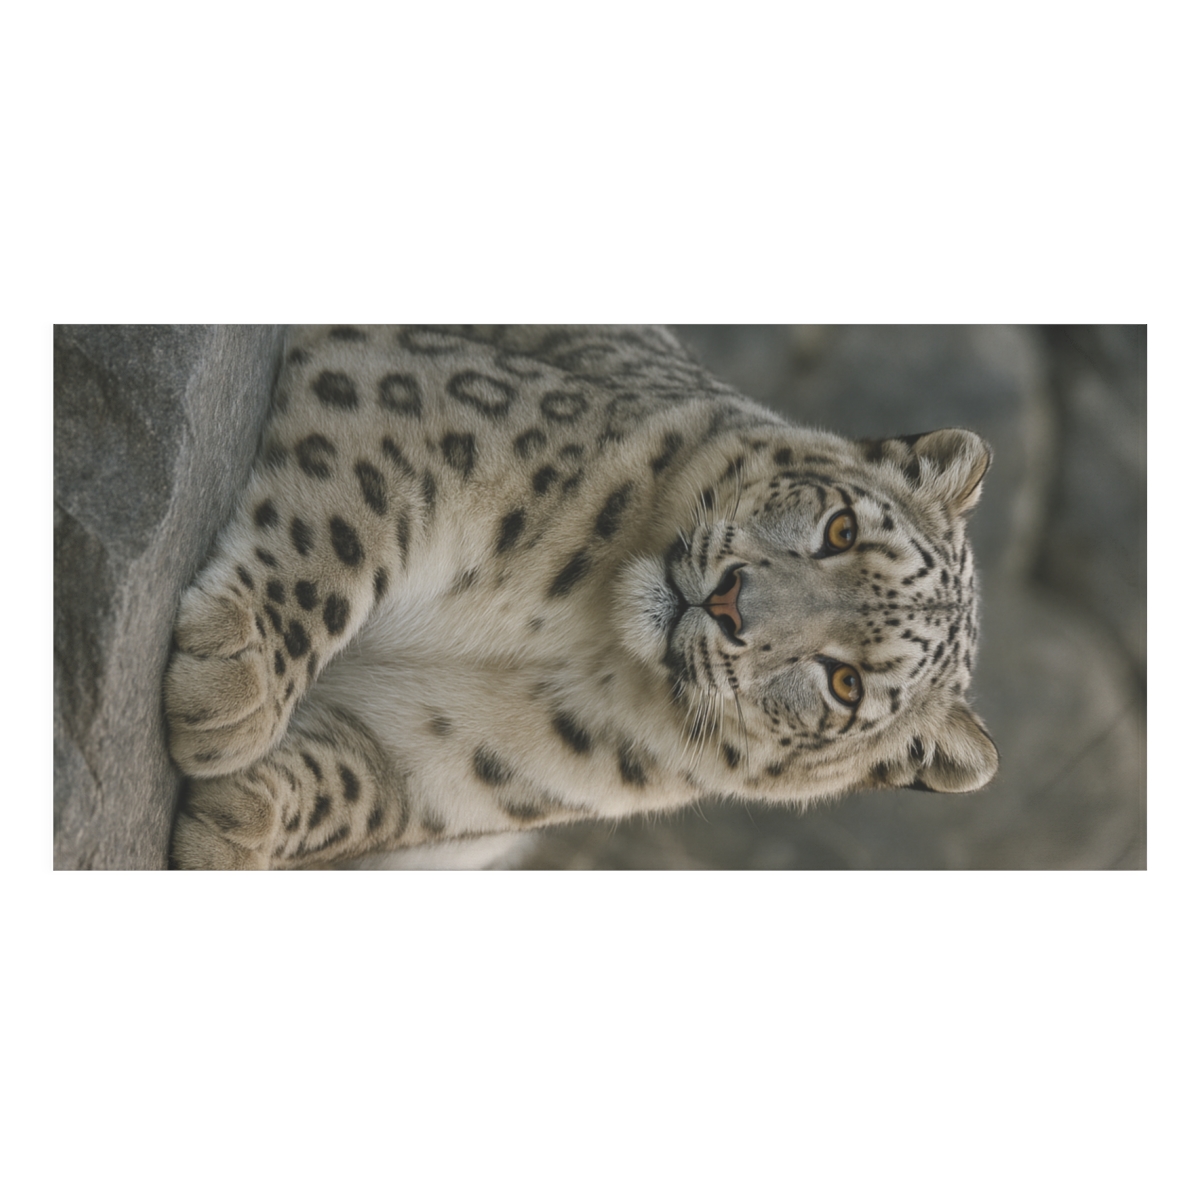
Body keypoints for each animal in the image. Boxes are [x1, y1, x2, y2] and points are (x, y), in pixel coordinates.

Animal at [164, 325, 999, 869]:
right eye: (840, 528)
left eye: (846, 683)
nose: (731, 603)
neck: (576, 628)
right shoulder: (432, 417)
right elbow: (343, 526)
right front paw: (233, 688)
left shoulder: (447, 763)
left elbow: (354, 793)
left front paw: (236, 824)